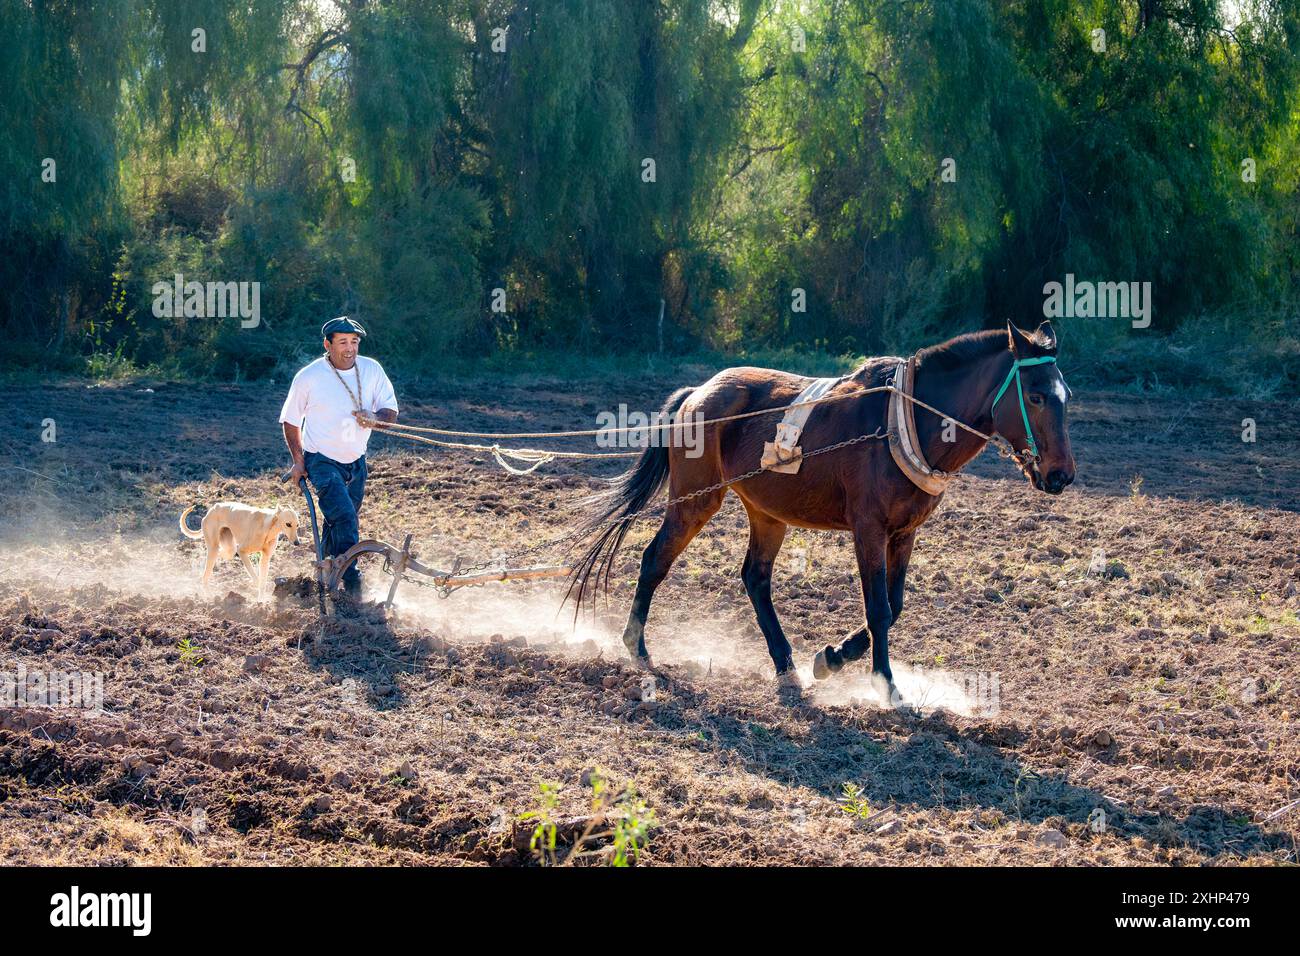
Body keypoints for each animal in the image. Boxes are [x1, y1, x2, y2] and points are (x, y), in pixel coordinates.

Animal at [566, 320, 1076, 700]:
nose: (1061, 475)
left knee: (755, 578)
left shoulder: (904, 532)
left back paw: (785, 665)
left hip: (768, 514)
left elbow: (895, 604)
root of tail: (698, 393)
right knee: (655, 559)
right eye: (1035, 396)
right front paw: (885, 685)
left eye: (1065, 395)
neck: (909, 422)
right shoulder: (868, 528)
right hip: (695, 499)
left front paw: (832, 658)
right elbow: (877, 608)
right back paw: (637, 649)